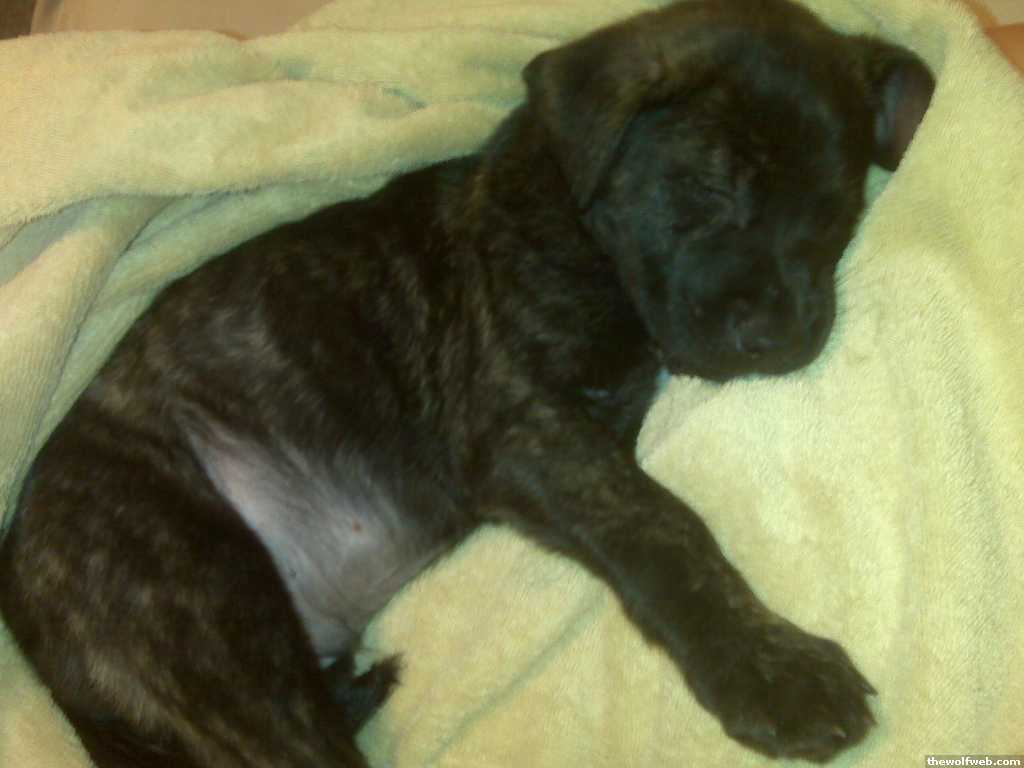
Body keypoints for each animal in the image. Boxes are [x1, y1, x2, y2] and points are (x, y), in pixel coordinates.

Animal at [0, 1, 934, 765]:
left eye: (839, 207)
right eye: (712, 181)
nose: (782, 338)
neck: (574, 216)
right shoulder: (526, 430)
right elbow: (663, 525)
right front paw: (773, 667)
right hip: (210, 620)